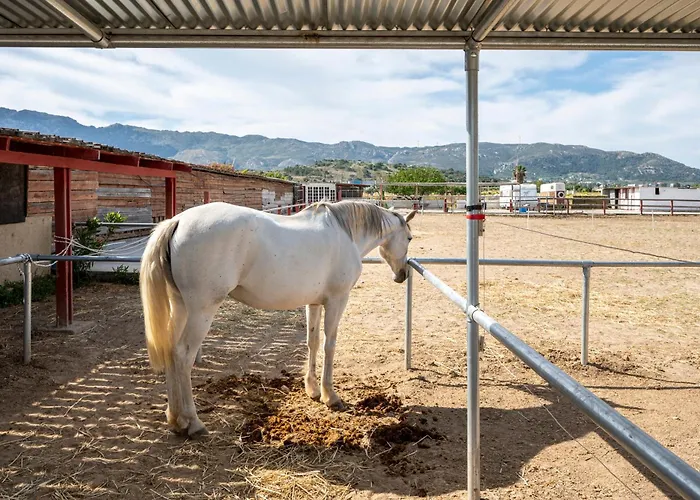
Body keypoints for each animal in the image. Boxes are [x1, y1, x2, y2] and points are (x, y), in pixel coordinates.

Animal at [139, 199, 417, 437]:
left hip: (180, 307)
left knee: (171, 352)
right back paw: (193, 423)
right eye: (410, 238)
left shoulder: (314, 303)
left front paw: (312, 389)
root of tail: (178, 221)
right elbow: (329, 345)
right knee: (183, 356)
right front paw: (330, 395)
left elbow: (313, 342)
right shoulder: (337, 301)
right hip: (201, 311)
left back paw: (176, 420)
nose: (402, 274)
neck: (344, 232)